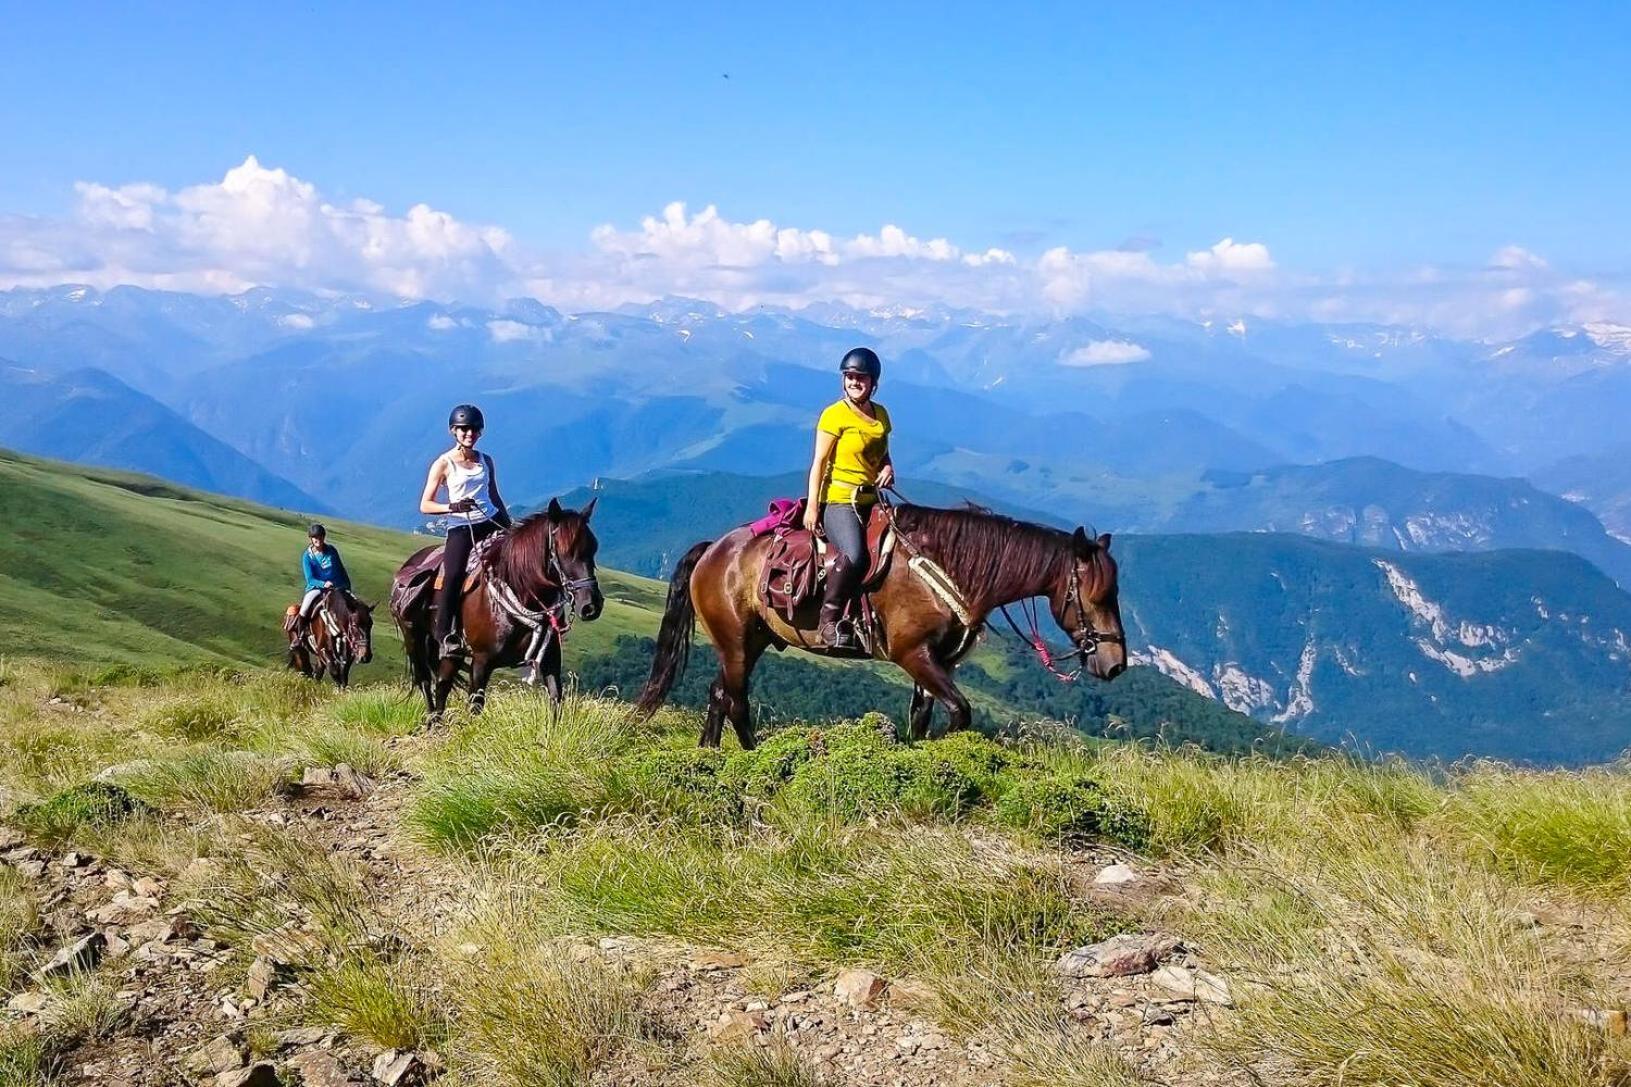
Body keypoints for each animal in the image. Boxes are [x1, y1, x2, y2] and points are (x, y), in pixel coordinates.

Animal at [391, 496, 603, 718]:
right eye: (565, 551)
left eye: (593, 548)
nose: (591, 606)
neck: (521, 593)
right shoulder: (481, 662)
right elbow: (475, 706)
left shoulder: (550, 659)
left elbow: (556, 702)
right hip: (414, 637)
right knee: (425, 680)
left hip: (451, 651)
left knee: (442, 684)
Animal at [632, 502, 1122, 744]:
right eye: (1098, 595)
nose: (1116, 663)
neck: (948, 570)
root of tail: (714, 549)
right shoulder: (912, 654)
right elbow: (960, 713)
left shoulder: (938, 662)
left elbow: (923, 716)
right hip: (735, 641)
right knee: (735, 700)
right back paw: (754, 757)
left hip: (752, 641)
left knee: (720, 693)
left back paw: (710, 755)